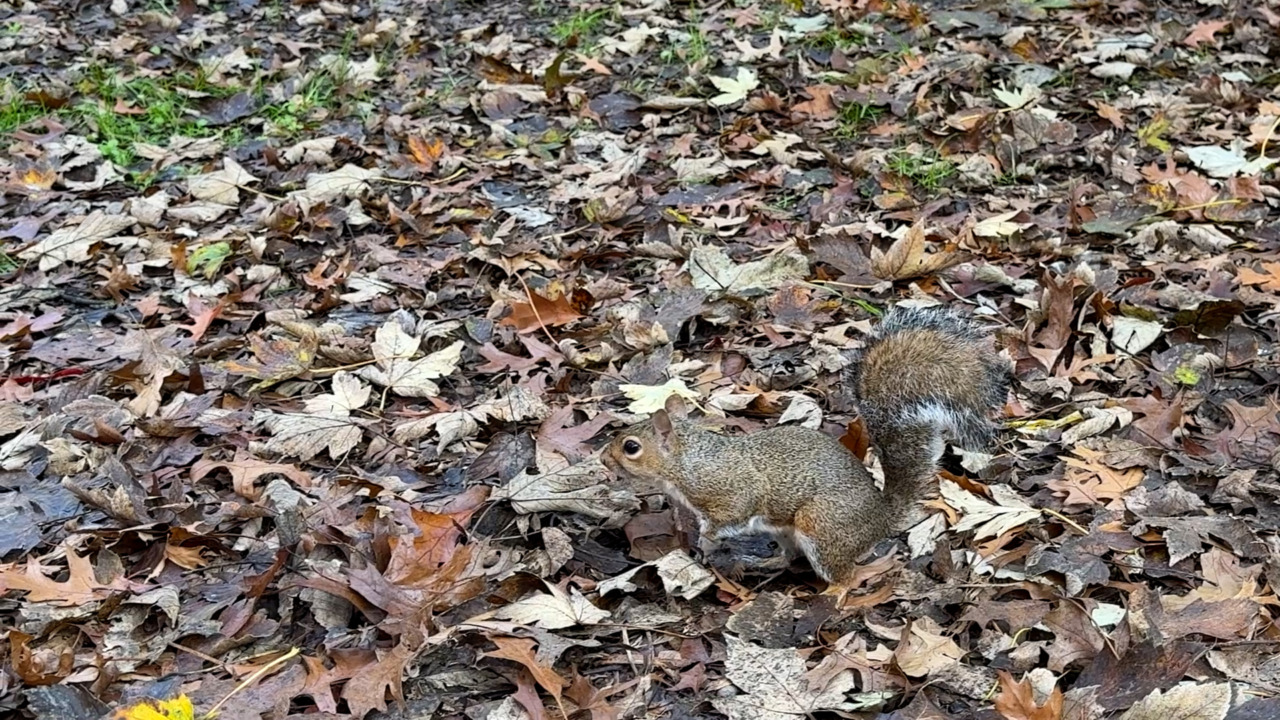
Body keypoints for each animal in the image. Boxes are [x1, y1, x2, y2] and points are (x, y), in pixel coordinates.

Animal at [602, 305, 1011, 593]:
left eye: (631, 447)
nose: (603, 458)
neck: (687, 461)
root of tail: (880, 518)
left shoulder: (729, 493)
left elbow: (727, 517)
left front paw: (706, 541)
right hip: (789, 533)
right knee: (789, 558)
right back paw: (766, 564)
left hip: (821, 525)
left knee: (845, 575)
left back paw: (838, 591)